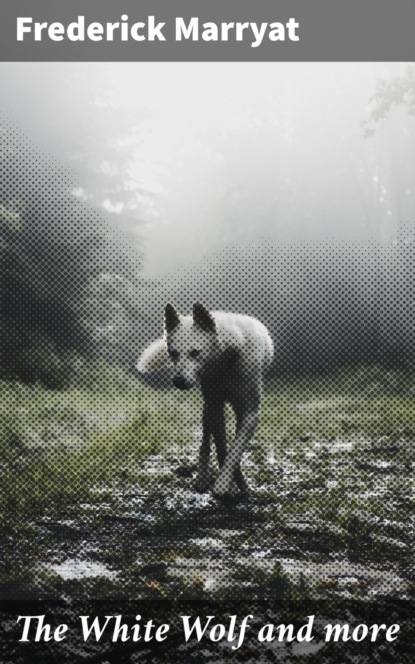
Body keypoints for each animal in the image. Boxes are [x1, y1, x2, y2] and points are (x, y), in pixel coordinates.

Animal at [137, 303, 274, 498]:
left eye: (195, 352)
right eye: (173, 353)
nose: (178, 381)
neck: (226, 363)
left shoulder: (250, 414)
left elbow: (235, 450)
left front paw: (228, 484)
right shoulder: (215, 407)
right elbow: (223, 449)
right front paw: (229, 486)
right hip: (208, 408)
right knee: (205, 442)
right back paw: (202, 477)